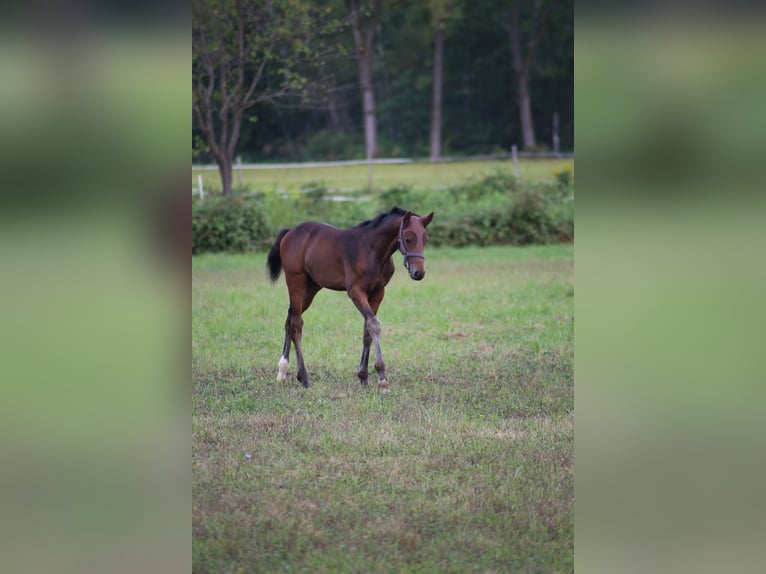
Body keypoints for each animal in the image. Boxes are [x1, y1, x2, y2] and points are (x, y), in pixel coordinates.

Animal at [266, 206, 434, 390]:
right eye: (408, 238)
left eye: (425, 239)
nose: (419, 273)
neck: (372, 251)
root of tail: (290, 232)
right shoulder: (355, 291)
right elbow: (374, 324)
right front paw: (382, 377)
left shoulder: (378, 292)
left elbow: (367, 329)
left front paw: (363, 376)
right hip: (295, 282)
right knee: (296, 325)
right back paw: (303, 376)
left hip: (312, 287)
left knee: (290, 319)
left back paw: (282, 372)